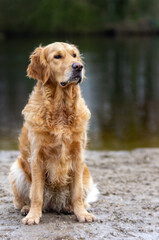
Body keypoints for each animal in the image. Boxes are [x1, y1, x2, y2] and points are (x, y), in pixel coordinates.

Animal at [9, 41, 98, 225]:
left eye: (74, 55)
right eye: (57, 56)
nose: (78, 66)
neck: (61, 109)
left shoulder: (78, 156)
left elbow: (77, 193)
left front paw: (82, 214)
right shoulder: (37, 157)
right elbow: (36, 193)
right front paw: (33, 215)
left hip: (86, 175)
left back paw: (69, 207)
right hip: (17, 169)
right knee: (24, 199)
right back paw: (27, 208)